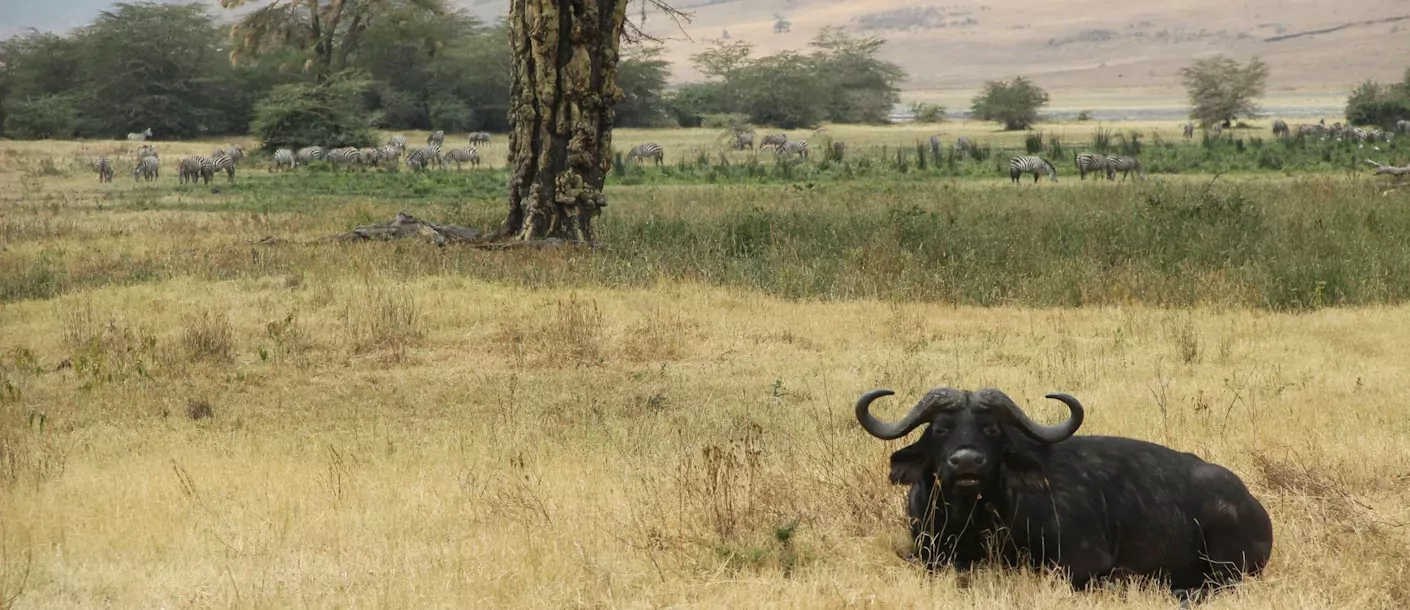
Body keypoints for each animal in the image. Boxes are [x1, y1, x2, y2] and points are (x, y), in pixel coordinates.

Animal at [851, 386, 1274, 600]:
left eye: (991, 429)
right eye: (940, 428)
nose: (967, 462)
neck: (973, 520)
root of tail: (1252, 504)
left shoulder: (1084, 561)